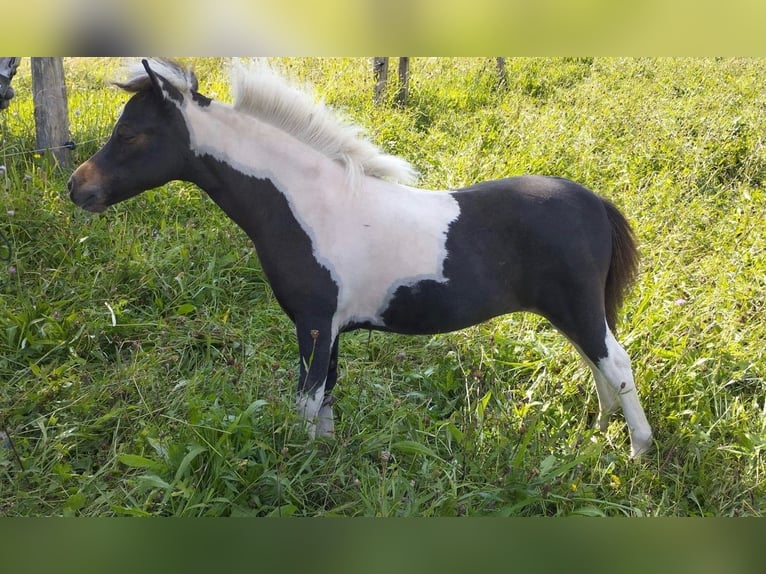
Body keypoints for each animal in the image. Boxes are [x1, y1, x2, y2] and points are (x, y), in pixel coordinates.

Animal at [69, 58, 656, 460]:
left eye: (131, 133)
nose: (77, 187)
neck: (309, 203)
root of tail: (593, 203)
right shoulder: (328, 329)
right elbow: (326, 398)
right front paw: (324, 459)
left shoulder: (313, 323)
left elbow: (307, 400)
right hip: (570, 312)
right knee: (595, 362)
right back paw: (600, 430)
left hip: (579, 308)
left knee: (617, 364)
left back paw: (639, 449)